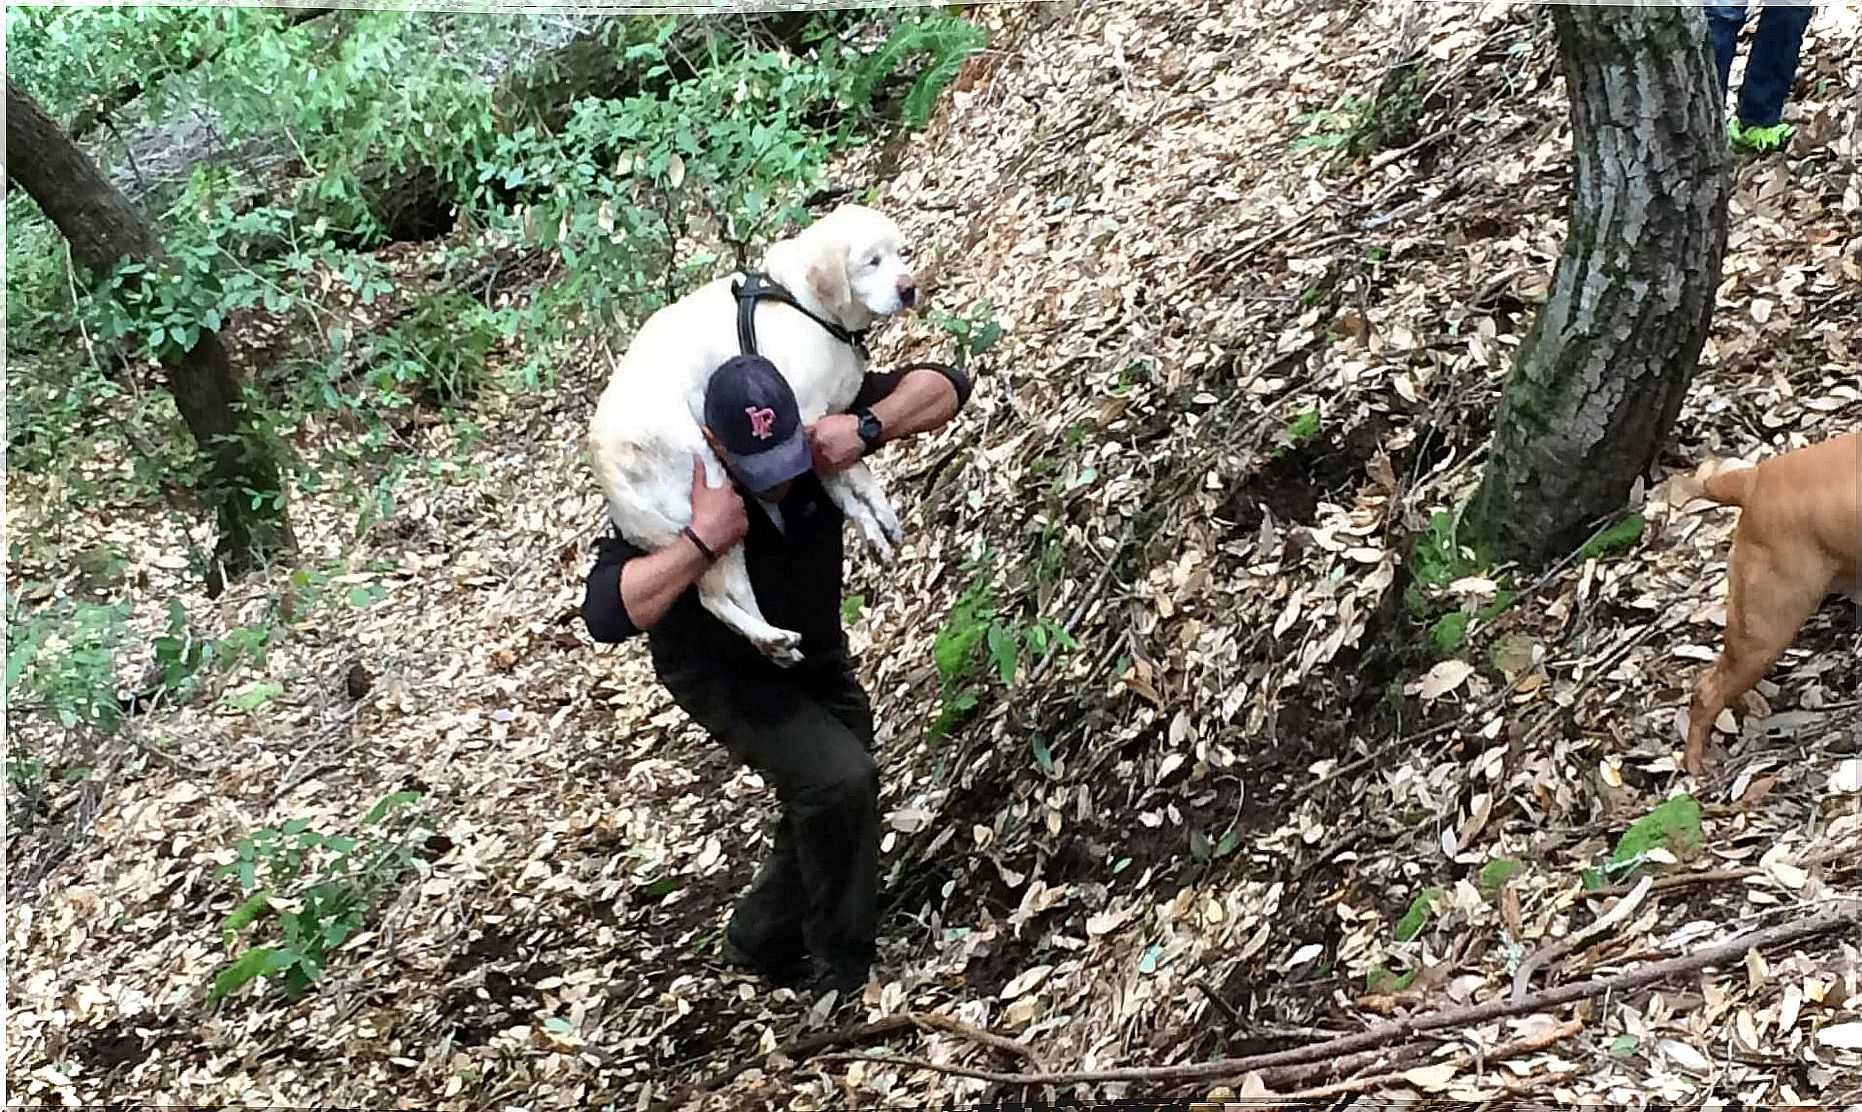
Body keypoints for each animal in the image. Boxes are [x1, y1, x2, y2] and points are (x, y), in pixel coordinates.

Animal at [588, 203, 916, 663]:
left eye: (903, 252)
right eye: (872, 261)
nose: (909, 288)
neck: (807, 305)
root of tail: (603, 457)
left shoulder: (831, 424)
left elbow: (847, 486)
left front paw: (873, 527)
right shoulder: (810, 418)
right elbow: (853, 476)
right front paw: (878, 516)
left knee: (729, 594)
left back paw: (777, 644)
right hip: (709, 489)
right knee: (714, 596)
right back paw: (772, 637)